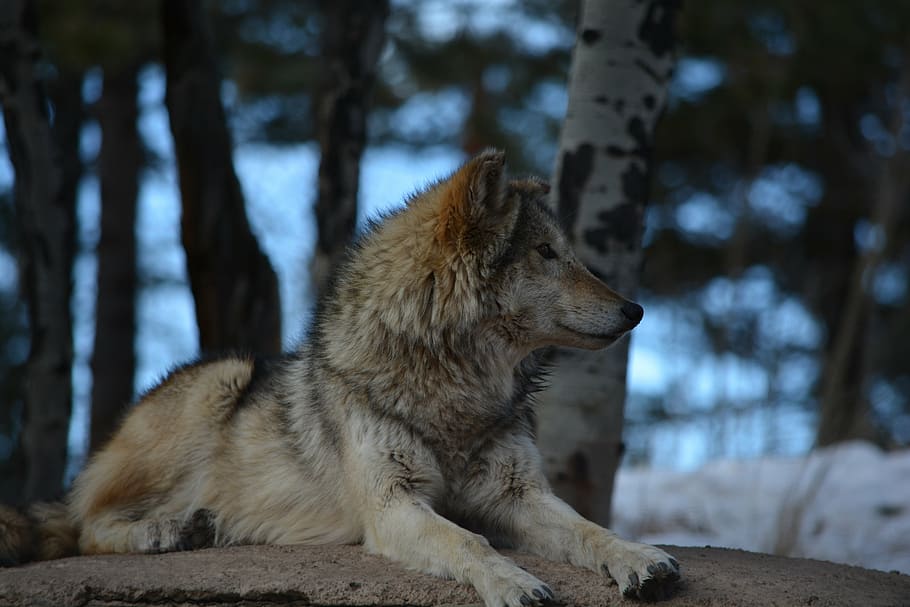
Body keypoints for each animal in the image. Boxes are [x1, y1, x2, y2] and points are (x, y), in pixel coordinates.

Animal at [0, 150, 679, 604]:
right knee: (83, 525)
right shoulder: (392, 505)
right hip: (221, 378)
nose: (636, 310)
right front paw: (513, 581)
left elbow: (590, 529)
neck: (453, 387)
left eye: (567, 253)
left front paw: (640, 558)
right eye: (547, 255)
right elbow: (470, 543)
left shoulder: (518, 496)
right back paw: (169, 530)